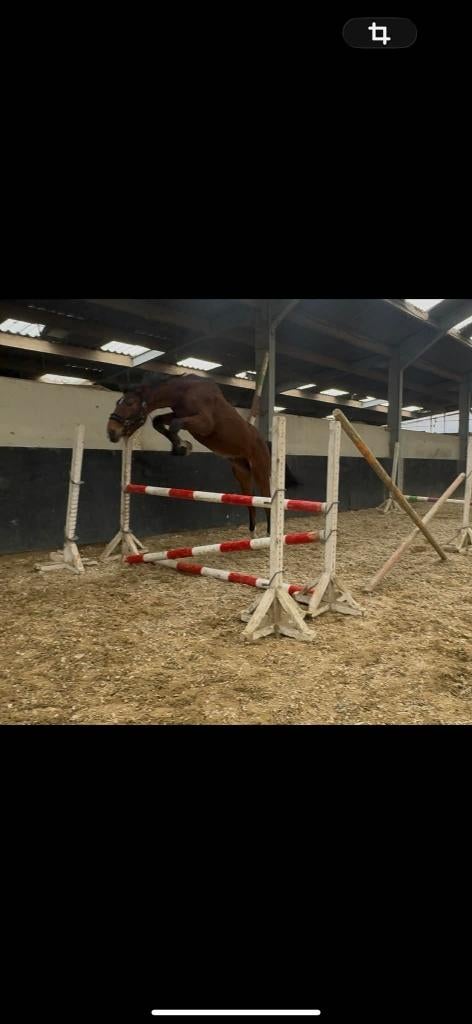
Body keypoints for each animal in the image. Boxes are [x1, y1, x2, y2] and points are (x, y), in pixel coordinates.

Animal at [107, 375, 277, 533]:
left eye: (130, 403)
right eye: (117, 402)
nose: (111, 431)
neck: (184, 392)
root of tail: (264, 441)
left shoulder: (205, 424)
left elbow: (175, 425)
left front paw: (182, 447)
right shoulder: (177, 414)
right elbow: (158, 421)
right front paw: (182, 447)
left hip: (260, 471)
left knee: (266, 499)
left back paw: (269, 533)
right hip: (241, 472)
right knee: (250, 502)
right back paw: (253, 535)